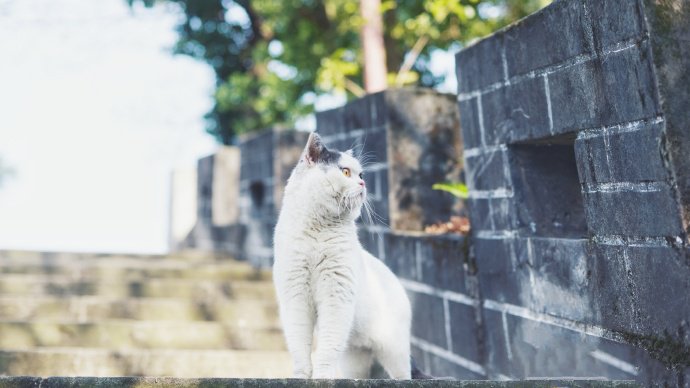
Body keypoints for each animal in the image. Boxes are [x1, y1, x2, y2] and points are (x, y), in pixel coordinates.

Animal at [272, 131, 412, 378]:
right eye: (345, 172)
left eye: (361, 174)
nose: (363, 182)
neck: (317, 232)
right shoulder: (295, 295)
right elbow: (299, 344)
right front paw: (301, 376)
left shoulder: (336, 295)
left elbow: (327, 348)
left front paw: (322, 377)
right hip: (354, 358)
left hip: (394, 352)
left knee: (404, 375)